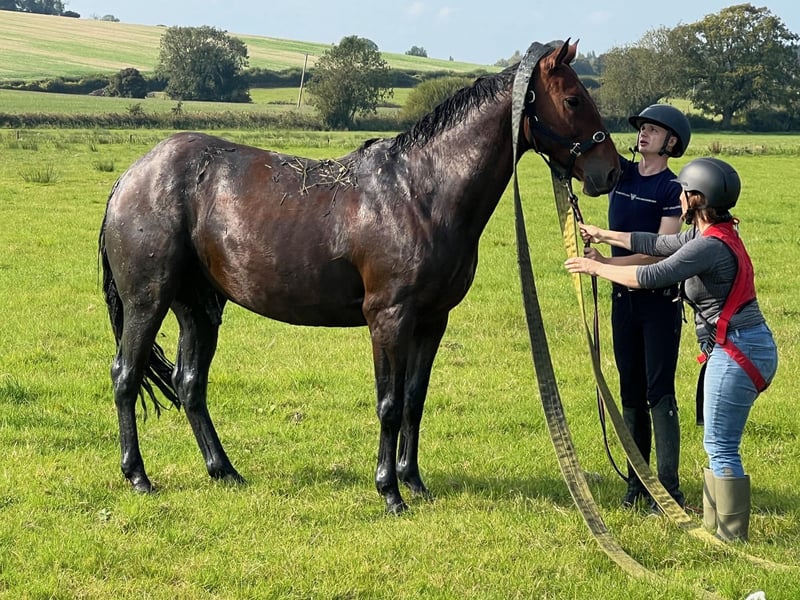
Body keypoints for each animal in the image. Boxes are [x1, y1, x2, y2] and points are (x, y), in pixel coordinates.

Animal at [99, 39, 620, 513]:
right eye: (573, 100)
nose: (611, 172)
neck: (420, 192)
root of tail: (130, 178)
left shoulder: (432, 321)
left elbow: (413, 399)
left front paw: (414, 482)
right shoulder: (389, 318)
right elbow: (388, 405)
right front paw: (389, 492)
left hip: (199, 306)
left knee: (190, 384)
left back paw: (224, 470)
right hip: (148, 300)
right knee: (126, 375)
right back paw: (137, 476)